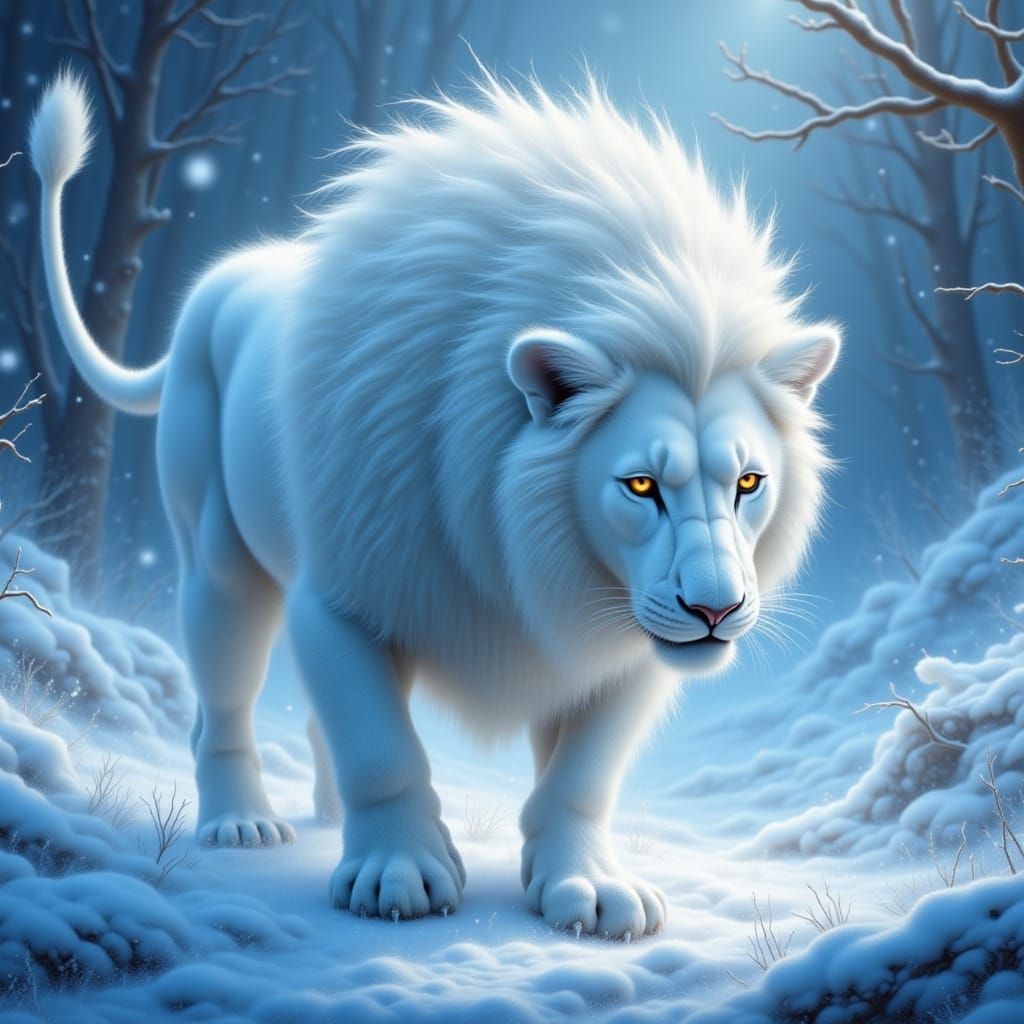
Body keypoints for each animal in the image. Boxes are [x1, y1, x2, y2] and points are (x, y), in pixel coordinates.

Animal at [31, 69, 839, 939]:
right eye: (641, 485)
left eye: (749, 482)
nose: (715, 611)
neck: (527, 551)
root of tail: (220, 280)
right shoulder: (340, 597)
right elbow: (381, 747)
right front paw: (397, 875)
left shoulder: (623, 646)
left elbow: (583, 772)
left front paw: (589, 888)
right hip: (221, 558)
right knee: (225, 698)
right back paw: (240, 823)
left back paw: (324, 813)